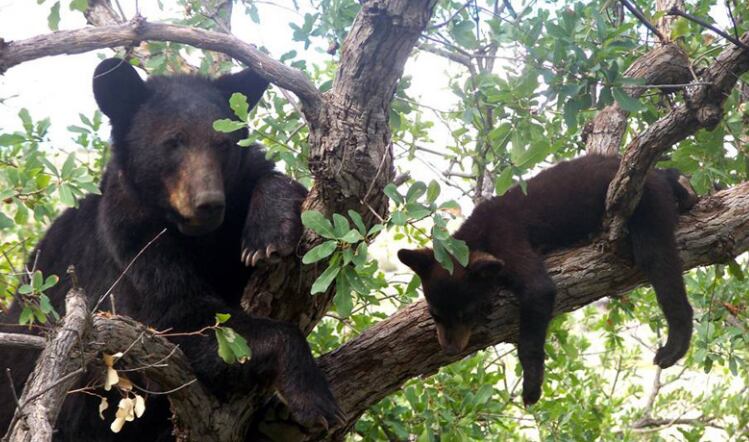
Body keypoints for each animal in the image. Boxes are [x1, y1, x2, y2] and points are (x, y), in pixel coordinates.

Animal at [0, 58, 340, 440]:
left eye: (223, 143)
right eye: (173, 142)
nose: (209, 203)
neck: (197, 236)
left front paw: (268, 235)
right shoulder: (130, 240)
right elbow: (179, 315)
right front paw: (314, 398)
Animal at [397, 154, 696, 406]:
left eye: (465, 314)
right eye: (435, 315)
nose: (449, 350)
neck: (475, 236)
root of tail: (653, 172)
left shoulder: (507, 240)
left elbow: (537, 294)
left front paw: (531, 387)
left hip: (648, 205)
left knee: (658, 260)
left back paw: (675, 345)